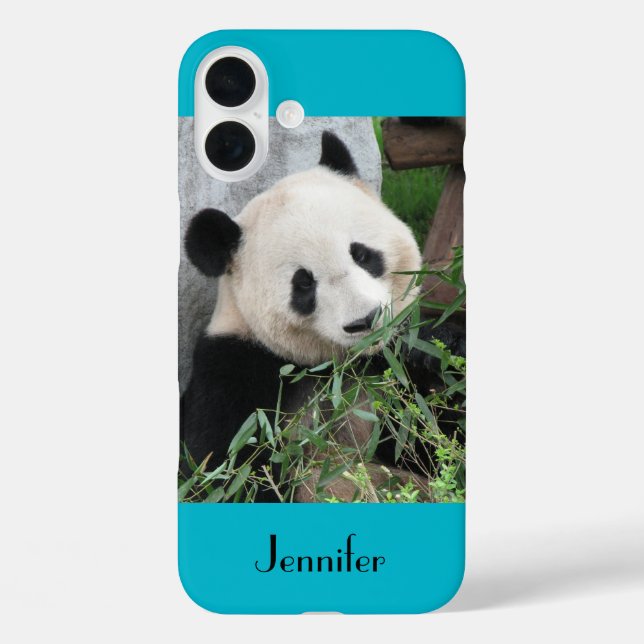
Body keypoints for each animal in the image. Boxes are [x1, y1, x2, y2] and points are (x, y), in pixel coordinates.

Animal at [180, 131, 464, 502]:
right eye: (304, 283)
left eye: (362, 254)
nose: (366, 321)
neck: (337, 368)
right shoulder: (233, 373)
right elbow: (227, 474)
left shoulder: (387, 374)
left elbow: (433, 443)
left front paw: (436, 352)